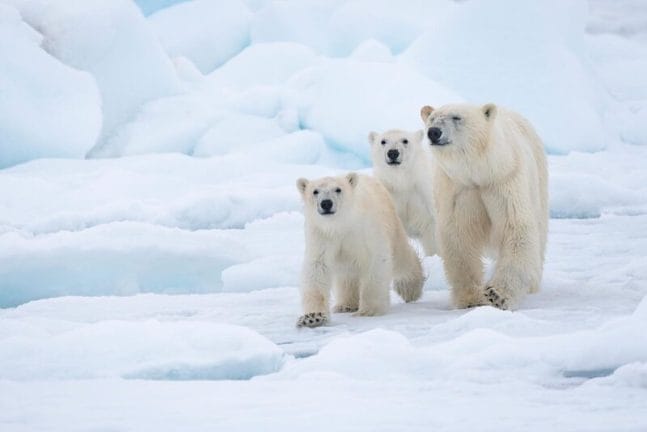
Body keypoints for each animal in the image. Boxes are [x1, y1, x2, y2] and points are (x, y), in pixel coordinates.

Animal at [295, 172, 424, 327]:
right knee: (347, 274)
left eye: (338, 189)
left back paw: (409, 288)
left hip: (392, 222)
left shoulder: (366, 231)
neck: (341, 225)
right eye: (315, 191)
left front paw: (369, 310)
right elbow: (317, 267)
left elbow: (375, 261)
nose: (326, 203)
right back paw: (345, 305)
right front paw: (313, 317)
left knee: (401, 257)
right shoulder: (322, 235)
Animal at [420, 103, 548, 310]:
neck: (480, 172)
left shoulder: (504, 181)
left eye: (457, 117)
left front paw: (497, 295)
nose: (434, 132)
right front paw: (471, 298)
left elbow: (515, 228)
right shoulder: (459, 189)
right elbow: (459, 236)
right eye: (432, 118)